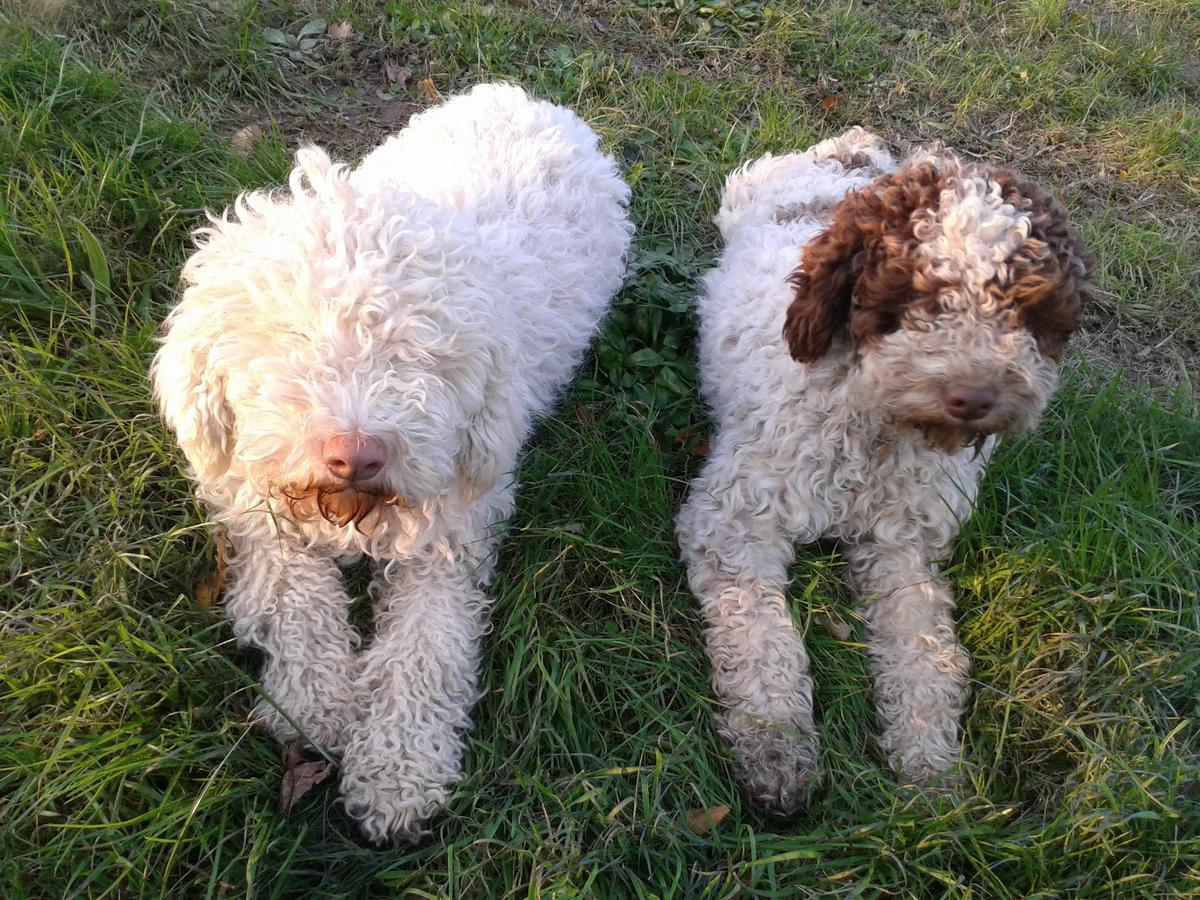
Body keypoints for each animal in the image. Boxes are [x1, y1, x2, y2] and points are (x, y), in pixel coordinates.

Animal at [154, 84, 633, 844]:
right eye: (292, 335)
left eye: (419, 351)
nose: (356, 455)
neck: (352, 514)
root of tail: (526, 99)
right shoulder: (258, 504)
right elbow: (294, 597)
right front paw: (312, 702)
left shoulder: (451, 531)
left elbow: (425, 649)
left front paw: (398, 771)